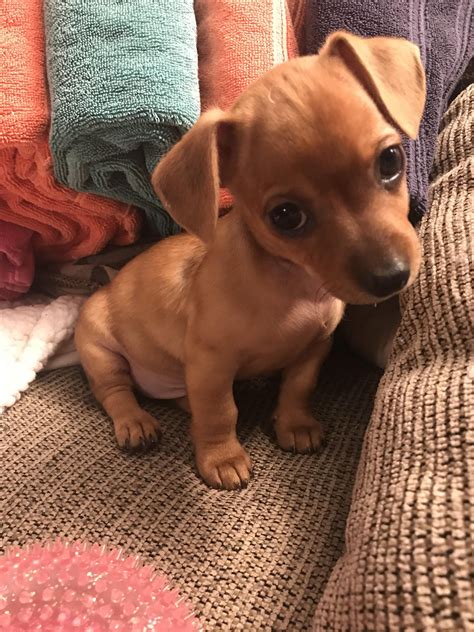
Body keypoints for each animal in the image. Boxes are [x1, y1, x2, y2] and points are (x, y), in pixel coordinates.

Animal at [75, 32, 426, 492]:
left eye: (390, 160)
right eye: (286, 216)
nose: (391, 277)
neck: (296, 286)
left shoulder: (315, 347)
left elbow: (298, 387)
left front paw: (294, 425)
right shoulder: (211, 363)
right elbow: (221, 412)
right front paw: (222, 458)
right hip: (99, 350)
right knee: (116, 392)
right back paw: (135, 422)